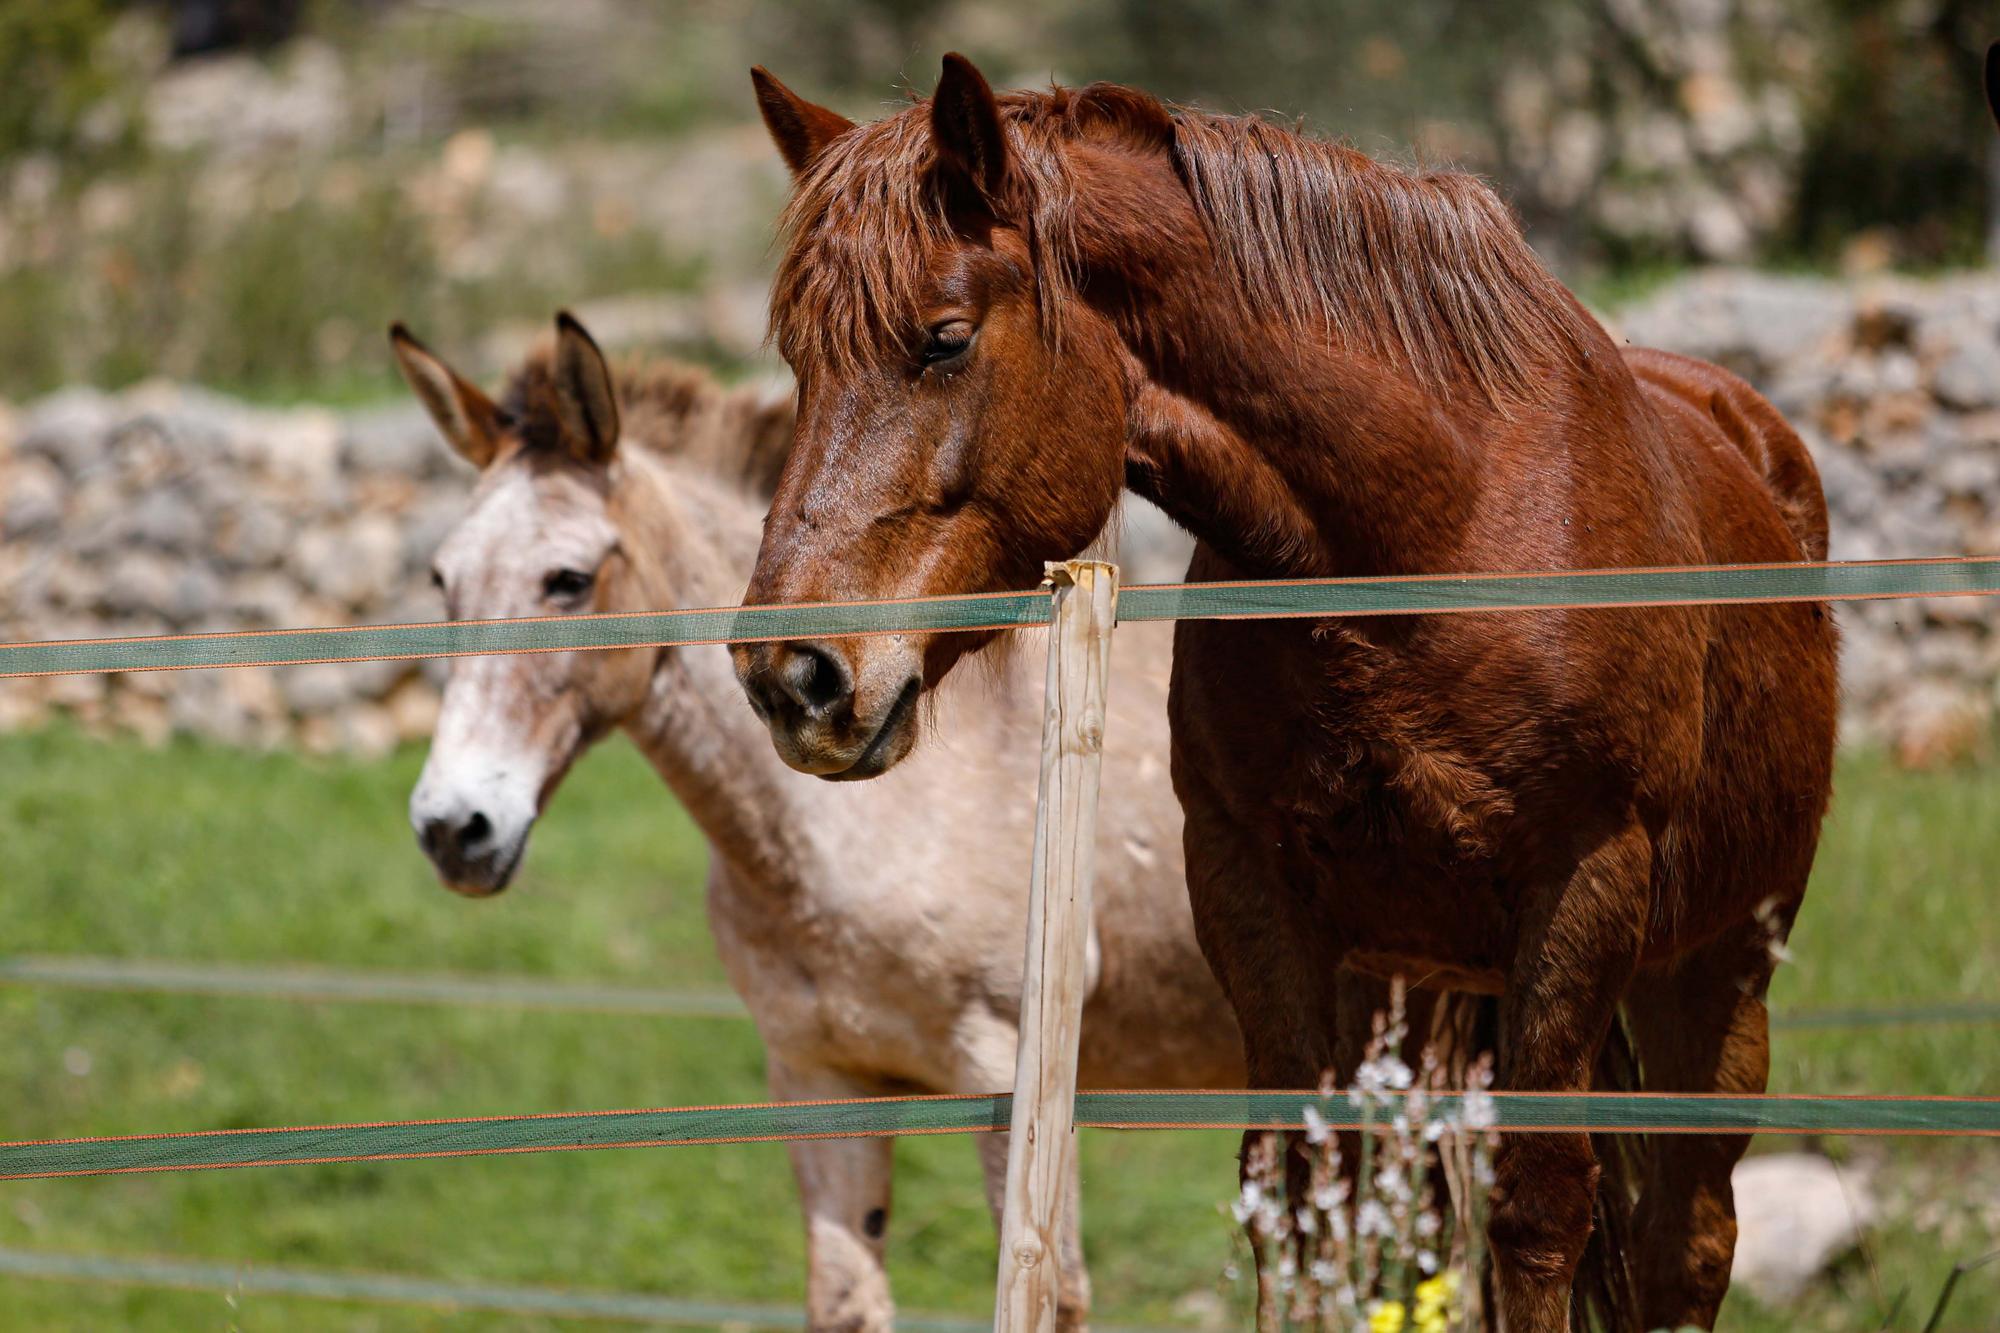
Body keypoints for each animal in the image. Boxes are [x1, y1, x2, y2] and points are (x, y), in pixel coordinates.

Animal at [740, 57, 1840, 1320]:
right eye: (797, 359)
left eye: (943, 339)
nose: (792, 676)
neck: (1432, 529)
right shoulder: (1250, 889)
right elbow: (1297, 1197)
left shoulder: (1585, 885)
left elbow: (1536, 1210)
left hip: (1714, 969)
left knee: (1684, 1243)